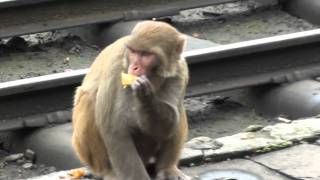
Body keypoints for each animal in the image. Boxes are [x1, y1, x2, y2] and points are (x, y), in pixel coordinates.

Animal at [71, 20, 189, 179]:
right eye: (134, 51)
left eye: (146, 54)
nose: (134, 67)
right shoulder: (115, 67)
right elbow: (114, 129)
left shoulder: (180, 70)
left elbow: (167, 126)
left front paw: (146, 97)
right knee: (89, 100)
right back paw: (108, 171)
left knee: (179, 111)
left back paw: (167, 168)